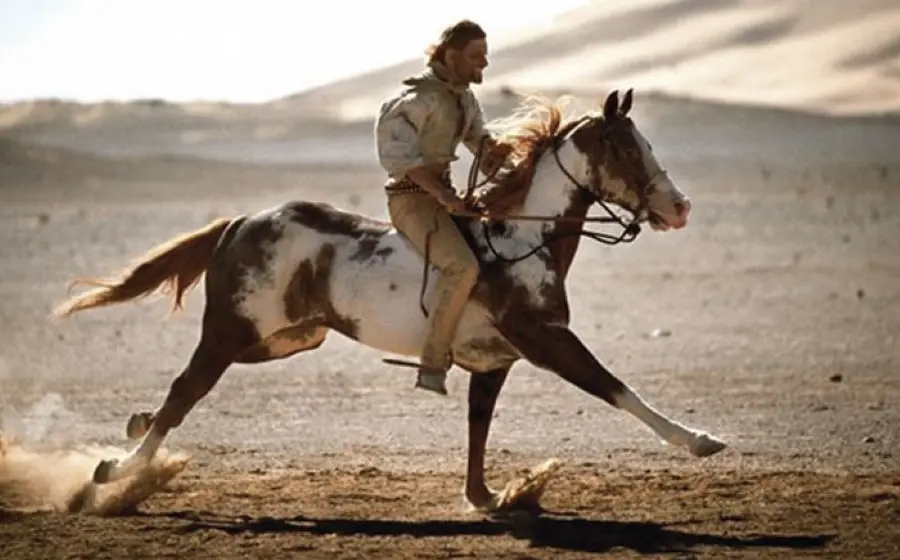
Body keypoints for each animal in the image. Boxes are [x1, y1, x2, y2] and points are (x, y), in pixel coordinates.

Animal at [53, 89, 726, 513]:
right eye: (626, 147)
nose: (680, 207)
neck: (519, 240)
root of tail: (242, 222)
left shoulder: (496, 361)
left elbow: (479, 426)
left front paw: (486, 497)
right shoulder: (548, 342)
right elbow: (617, 388)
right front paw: (700, 440)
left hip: (289, 338)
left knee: (178, 394)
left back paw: (133, 429)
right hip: (228, 333)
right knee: (183, 392)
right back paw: (117, 469)